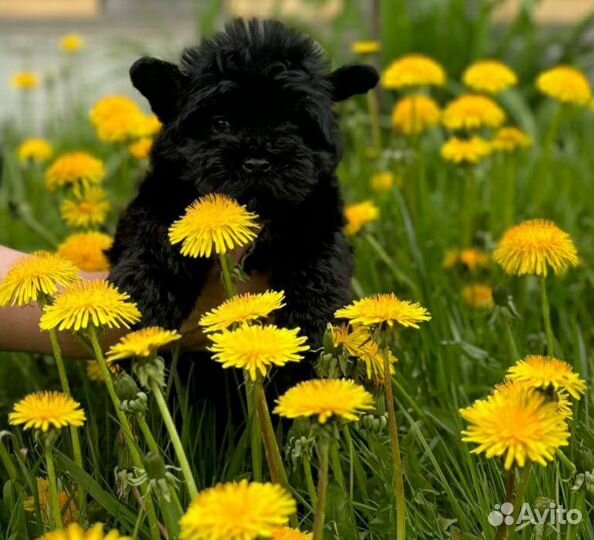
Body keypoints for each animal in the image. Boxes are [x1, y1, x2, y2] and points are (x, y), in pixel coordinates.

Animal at [107, 19, 374, 348]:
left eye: (293, 124)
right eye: (220, 124)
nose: (257, 162)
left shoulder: (319, 211)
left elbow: (319, 255)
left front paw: (312, 322)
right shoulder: (162, 193)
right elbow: (160, 231)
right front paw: (144, 299)